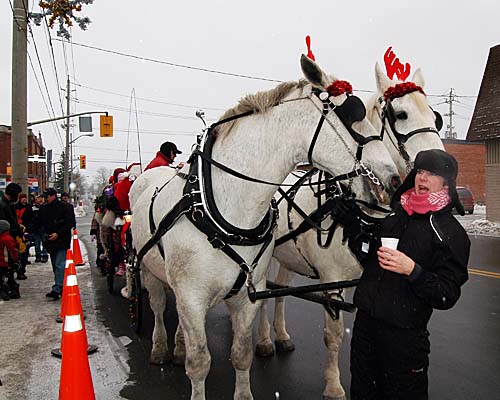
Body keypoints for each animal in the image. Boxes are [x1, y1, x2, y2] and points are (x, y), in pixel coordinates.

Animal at [129, 55, 398, 400]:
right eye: (352, 115)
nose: (392, 180)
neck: (223, 210)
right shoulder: (192, 296)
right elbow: (199, 362)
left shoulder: (247, 294)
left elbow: (241, 353)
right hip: (149, 269)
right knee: (159, 305)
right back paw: (161, 347)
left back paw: (177, 345)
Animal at [258, 64, 446, 398]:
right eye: (401, 114)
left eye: (435, 117)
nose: (443, 162)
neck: (356, 208)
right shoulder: (332, 279)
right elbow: (334, 335)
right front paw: (333, 386)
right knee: (264, 297)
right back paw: (265, 340)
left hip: (287, 254)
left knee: (280, 291)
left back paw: (281, 335)